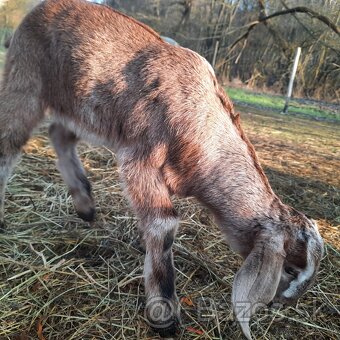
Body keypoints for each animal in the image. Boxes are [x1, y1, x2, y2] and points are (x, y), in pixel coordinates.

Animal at [0, 1, 324, 338]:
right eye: (290, 268)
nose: (280, 303)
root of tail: (43, 7)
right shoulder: (140, 160)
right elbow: (163, 226)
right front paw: (164, 314)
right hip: (25, 77)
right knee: (9, 143)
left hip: (79, 105)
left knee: (59, 135)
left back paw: (85, 205)